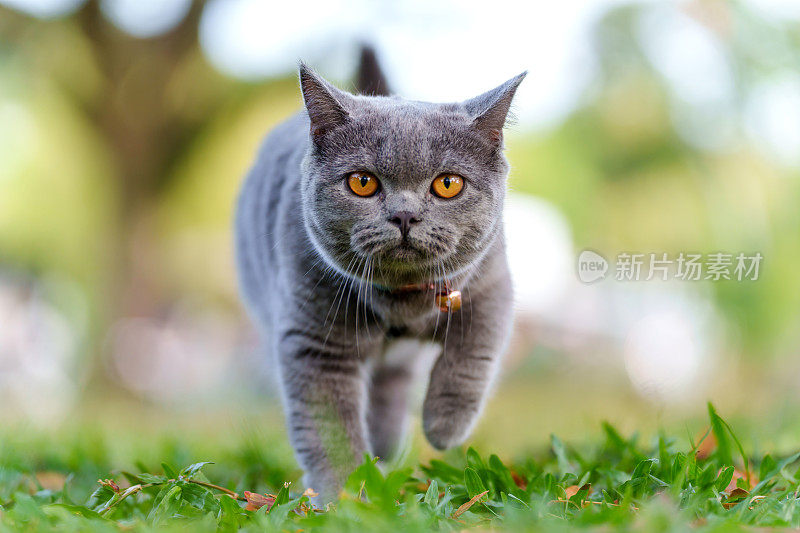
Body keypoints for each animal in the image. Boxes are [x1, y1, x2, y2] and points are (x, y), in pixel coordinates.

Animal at [234, 48, 528, 498]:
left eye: (448, 184)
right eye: (362, 182)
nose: (404, 215)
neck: (403, 298)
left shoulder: (490, 283)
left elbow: (473, 353)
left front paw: (444, 427)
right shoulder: (314, 339)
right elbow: (330, 429)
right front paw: (345, 495)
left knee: (394, 380)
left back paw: (388, 442)